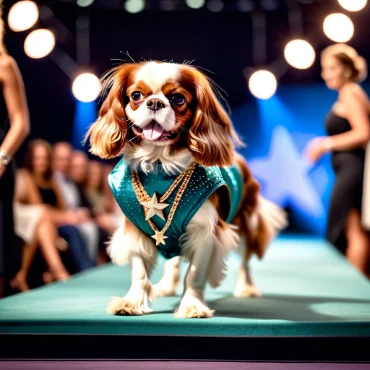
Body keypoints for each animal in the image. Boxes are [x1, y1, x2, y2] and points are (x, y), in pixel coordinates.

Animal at [86, 61, 286, 318]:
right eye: (136, 96)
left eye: (178, 99)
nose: (155, 103)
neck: (160, 165)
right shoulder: (136, 229)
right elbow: (139, 273)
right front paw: (131, 302)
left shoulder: (205, 233)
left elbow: (195, 274)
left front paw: (192, 305)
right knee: (173, 259)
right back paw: (167, 286)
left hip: (245, 223)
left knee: (245, 259)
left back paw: (246, 287)